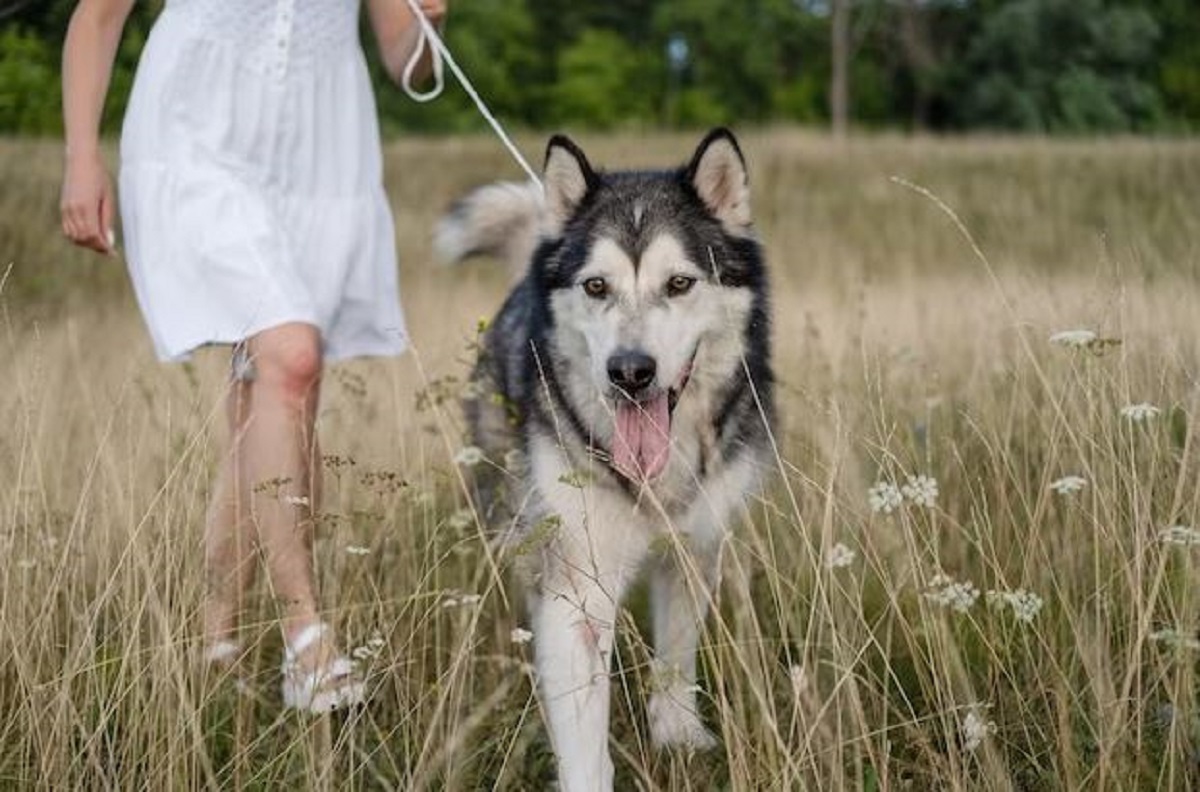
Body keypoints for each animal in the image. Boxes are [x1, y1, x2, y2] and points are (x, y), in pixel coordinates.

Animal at [436, 130, 772, 792]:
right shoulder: (577, 591)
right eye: (596, 287)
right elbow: (584, 735)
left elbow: (676, 653)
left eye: (679, 284)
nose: (630, 372)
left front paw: (678, 735)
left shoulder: (694, 548)